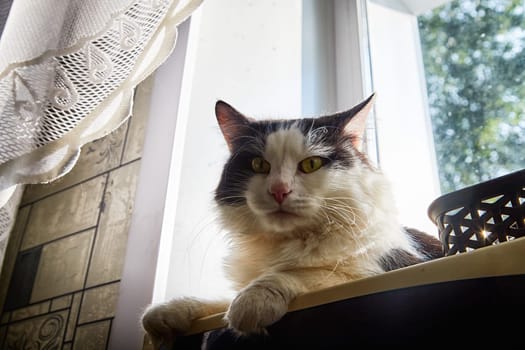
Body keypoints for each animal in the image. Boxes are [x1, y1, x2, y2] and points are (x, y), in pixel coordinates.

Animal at [141, 94, 444, 348]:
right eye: (259, 165)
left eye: (311, 164)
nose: (279, 190)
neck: (290, 242)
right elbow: (221, 300)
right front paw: (172, 309)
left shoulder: (396, 264)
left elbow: (313, 272)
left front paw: (253, 299)